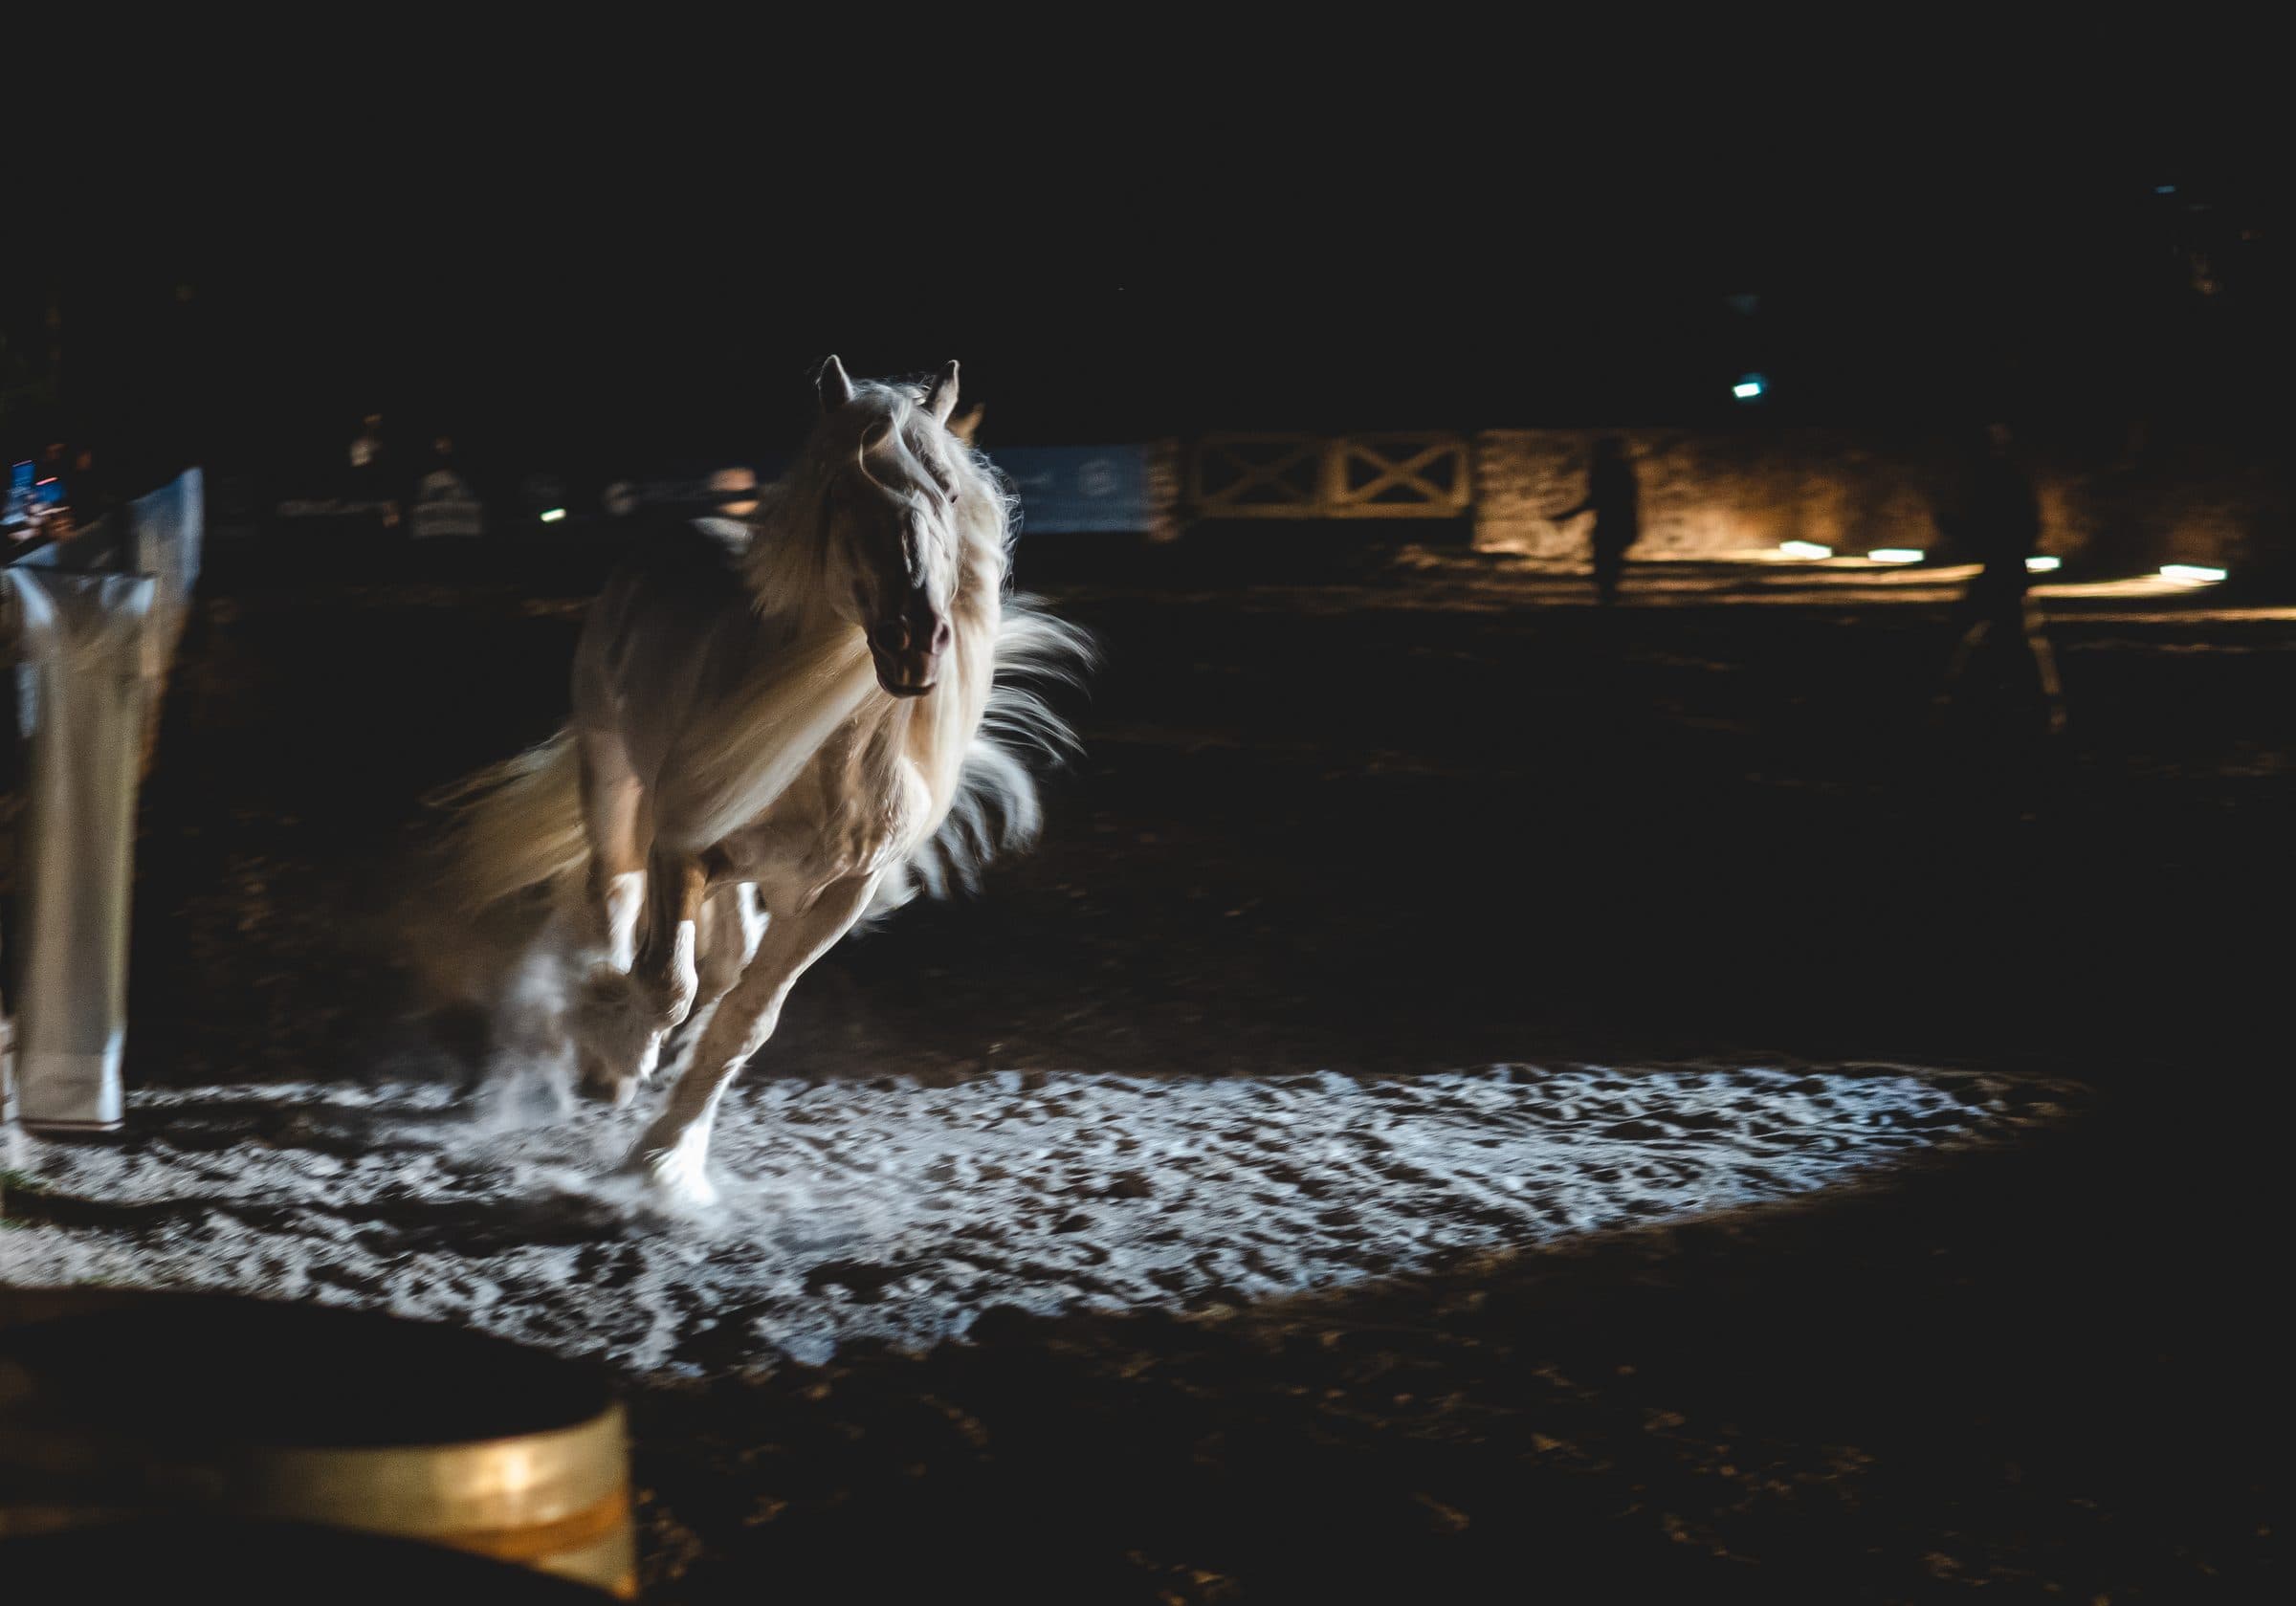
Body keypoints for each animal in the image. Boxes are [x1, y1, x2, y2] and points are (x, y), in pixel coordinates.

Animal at [428, 358, 1091, 1206]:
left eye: (947, 492)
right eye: (842, 493)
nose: (916, 637)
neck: (828, 762)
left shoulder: (835, 894)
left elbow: (745, 1015)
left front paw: (666, 1156)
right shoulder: (682, 846)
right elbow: (666, 981)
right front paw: (623, 1057)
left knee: (723, 957)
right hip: (614, 783)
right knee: (616, 896)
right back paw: (607, 1044)